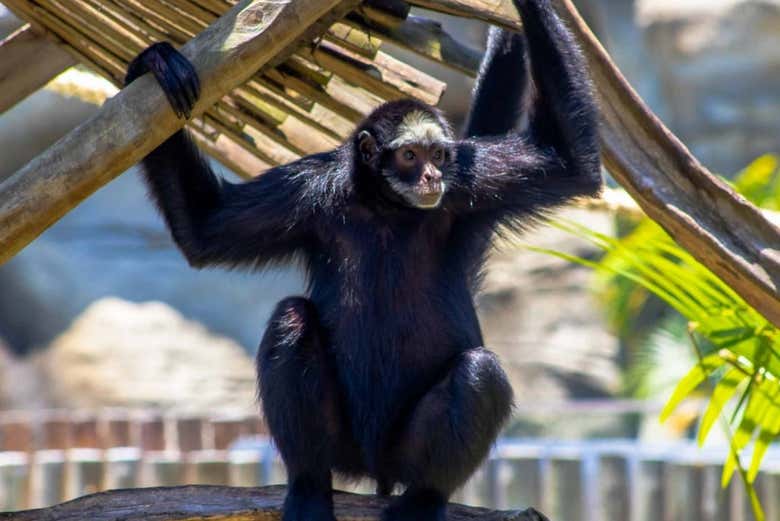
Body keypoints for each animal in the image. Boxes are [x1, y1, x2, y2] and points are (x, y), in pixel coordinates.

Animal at [124, 0, 601, 519]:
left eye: (436, 155)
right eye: (410, 155)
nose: (432, 177)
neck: (386, 207)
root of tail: (376, 467)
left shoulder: (472, 180)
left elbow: (570, 163)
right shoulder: (308, 188)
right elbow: (204, 229)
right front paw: (152, 65)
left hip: (404, 449)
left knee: (480, 372)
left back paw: (423, 498)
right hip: (344, 444)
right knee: (292, 317)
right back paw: (310, 484)